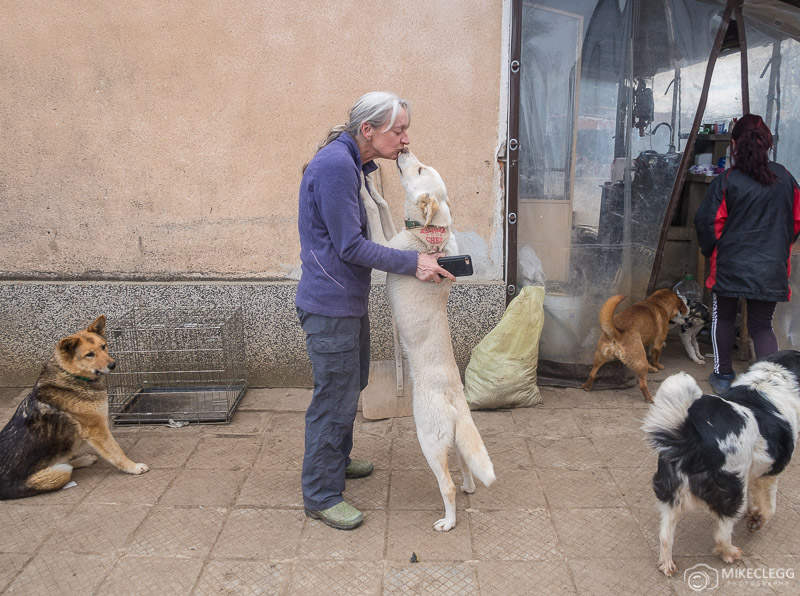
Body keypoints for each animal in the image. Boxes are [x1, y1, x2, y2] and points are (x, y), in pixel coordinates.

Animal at [0, 314, 149, 500]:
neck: (71, 375)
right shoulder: (97, 430)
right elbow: (116, 451)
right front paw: (133, 467)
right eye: (89, 355)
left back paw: (84, 459)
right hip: (58, 474)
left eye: (103, 346)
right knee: (66, 467)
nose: (113, 365)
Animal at [364, 150, 494, 532]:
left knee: (446, 484)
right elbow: (385, 207)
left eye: (420, 169)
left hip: (428, 439)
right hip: (455, 439)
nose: (403, 150)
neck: (429, 233)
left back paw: (448, 521)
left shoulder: (383, 244)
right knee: (465, 465)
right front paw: (372, 183)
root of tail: (453, 396)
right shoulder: (394, 231)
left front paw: (365, 189)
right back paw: (468, 488)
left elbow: (374, 211)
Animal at [640, 352, 800, 576]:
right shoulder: (770, 474)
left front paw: (753, 515)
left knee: (665, 535)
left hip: (671, 493)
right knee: (722, 534)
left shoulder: (751, 474)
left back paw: (667, 565)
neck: (771, 378)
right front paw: (756, 520)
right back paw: (730, 552)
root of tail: (693, 436)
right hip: (731, 492)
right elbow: (769, 507)